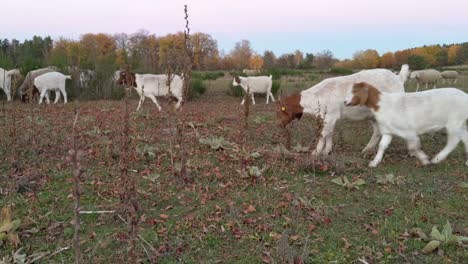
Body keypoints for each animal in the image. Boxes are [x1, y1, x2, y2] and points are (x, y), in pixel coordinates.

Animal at [278, 64, 410, 156]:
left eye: (281, 110)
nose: (279, 124)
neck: (316, 96)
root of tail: (398, 78)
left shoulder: (330, 116)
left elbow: (322, 134)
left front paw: (316, 152)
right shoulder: (329, 119)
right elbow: (329, 134)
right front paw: (326, 151)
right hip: (373, 116)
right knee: (377, 131)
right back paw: (366, 150)